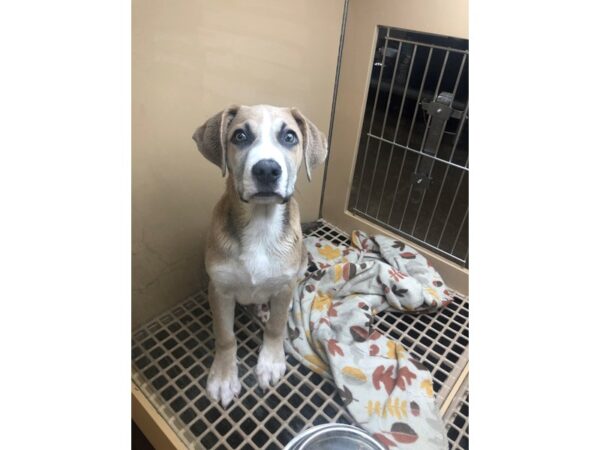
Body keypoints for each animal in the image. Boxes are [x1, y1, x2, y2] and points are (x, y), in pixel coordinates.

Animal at [193, 103, 328, 406]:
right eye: (240, 136)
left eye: (289, 137)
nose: (267, 169)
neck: (260, 224)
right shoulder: (219, 289)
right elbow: (225, 336)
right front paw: (224, 376)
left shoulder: (284, 284)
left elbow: (276, 326)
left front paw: (270, 362)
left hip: (300, 264)